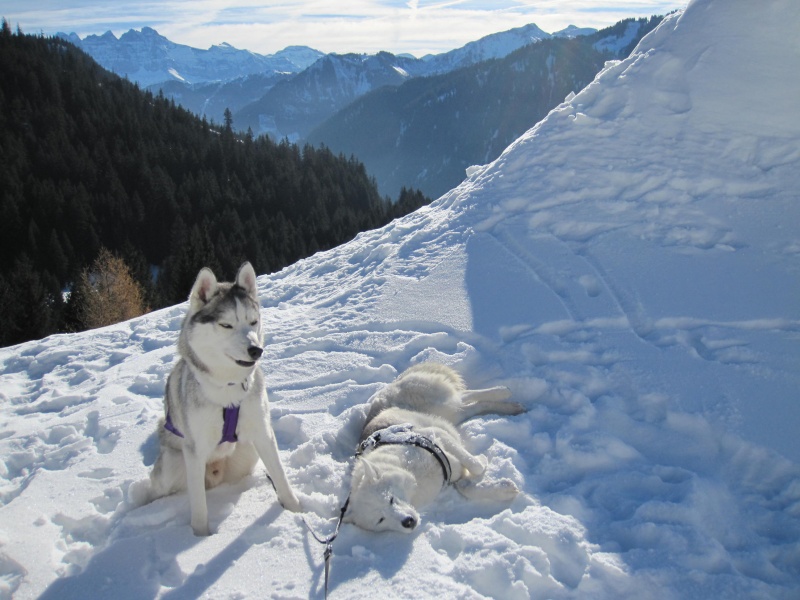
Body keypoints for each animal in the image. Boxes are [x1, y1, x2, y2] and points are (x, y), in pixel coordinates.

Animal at [144, 262, 300, 536]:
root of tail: (215, 473)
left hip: (247, 453)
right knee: (157, 488)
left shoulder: (263, 434)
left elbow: (280, 476)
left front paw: (296, 511)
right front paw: (201, 537)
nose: (256, 350)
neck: (228, 389)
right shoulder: (194, 451)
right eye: (226, 325)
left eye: (253, 322)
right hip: (173, 464)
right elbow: (199, 506)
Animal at [342, 364, 524, 532]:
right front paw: (505, 489)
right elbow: (466, 487)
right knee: (472, 406)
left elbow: (476, 466)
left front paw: (483, 462)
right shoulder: (452, 475)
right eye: (380, 519)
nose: (408, 522)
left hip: (443, 404)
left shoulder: (436, 435)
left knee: (465, 395)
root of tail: (394, 383)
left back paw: (503, 392)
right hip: (452, 414)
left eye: (391, 499)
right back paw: (511, 407)